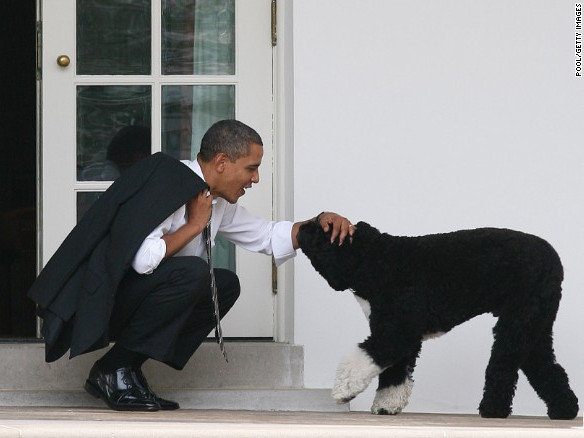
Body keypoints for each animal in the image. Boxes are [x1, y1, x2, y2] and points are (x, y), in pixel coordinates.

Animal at [298, 221, 576, 420]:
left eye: (321, 230)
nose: (299, 227)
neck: (375, 259)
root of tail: (554, 261)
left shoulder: (396, 333)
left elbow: (362, 357)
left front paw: (344, 391)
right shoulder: (401, 336)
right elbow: (394, 374)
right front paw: (387, 406)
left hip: (517, 323)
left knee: (503, 366)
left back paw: (492, 410)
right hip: (535, 325)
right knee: (545, 367)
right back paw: (564, 410)